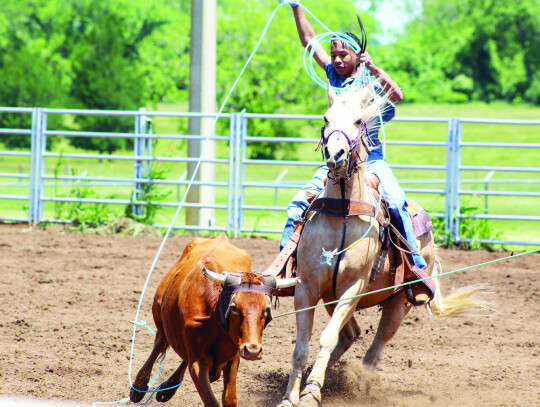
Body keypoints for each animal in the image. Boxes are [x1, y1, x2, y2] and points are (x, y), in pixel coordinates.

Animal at [276, 83, 488, 407]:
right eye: (326, 118)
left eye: (357, 121)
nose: (335, 154)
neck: (343, 212)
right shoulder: (307, 289)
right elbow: (302, 347)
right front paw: (291, 396)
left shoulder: (353, 288)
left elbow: (327, 338)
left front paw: (311, 392)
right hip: (332, 298)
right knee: (350, 335)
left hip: (399, 303)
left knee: (373, 350)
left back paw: (356, 384)